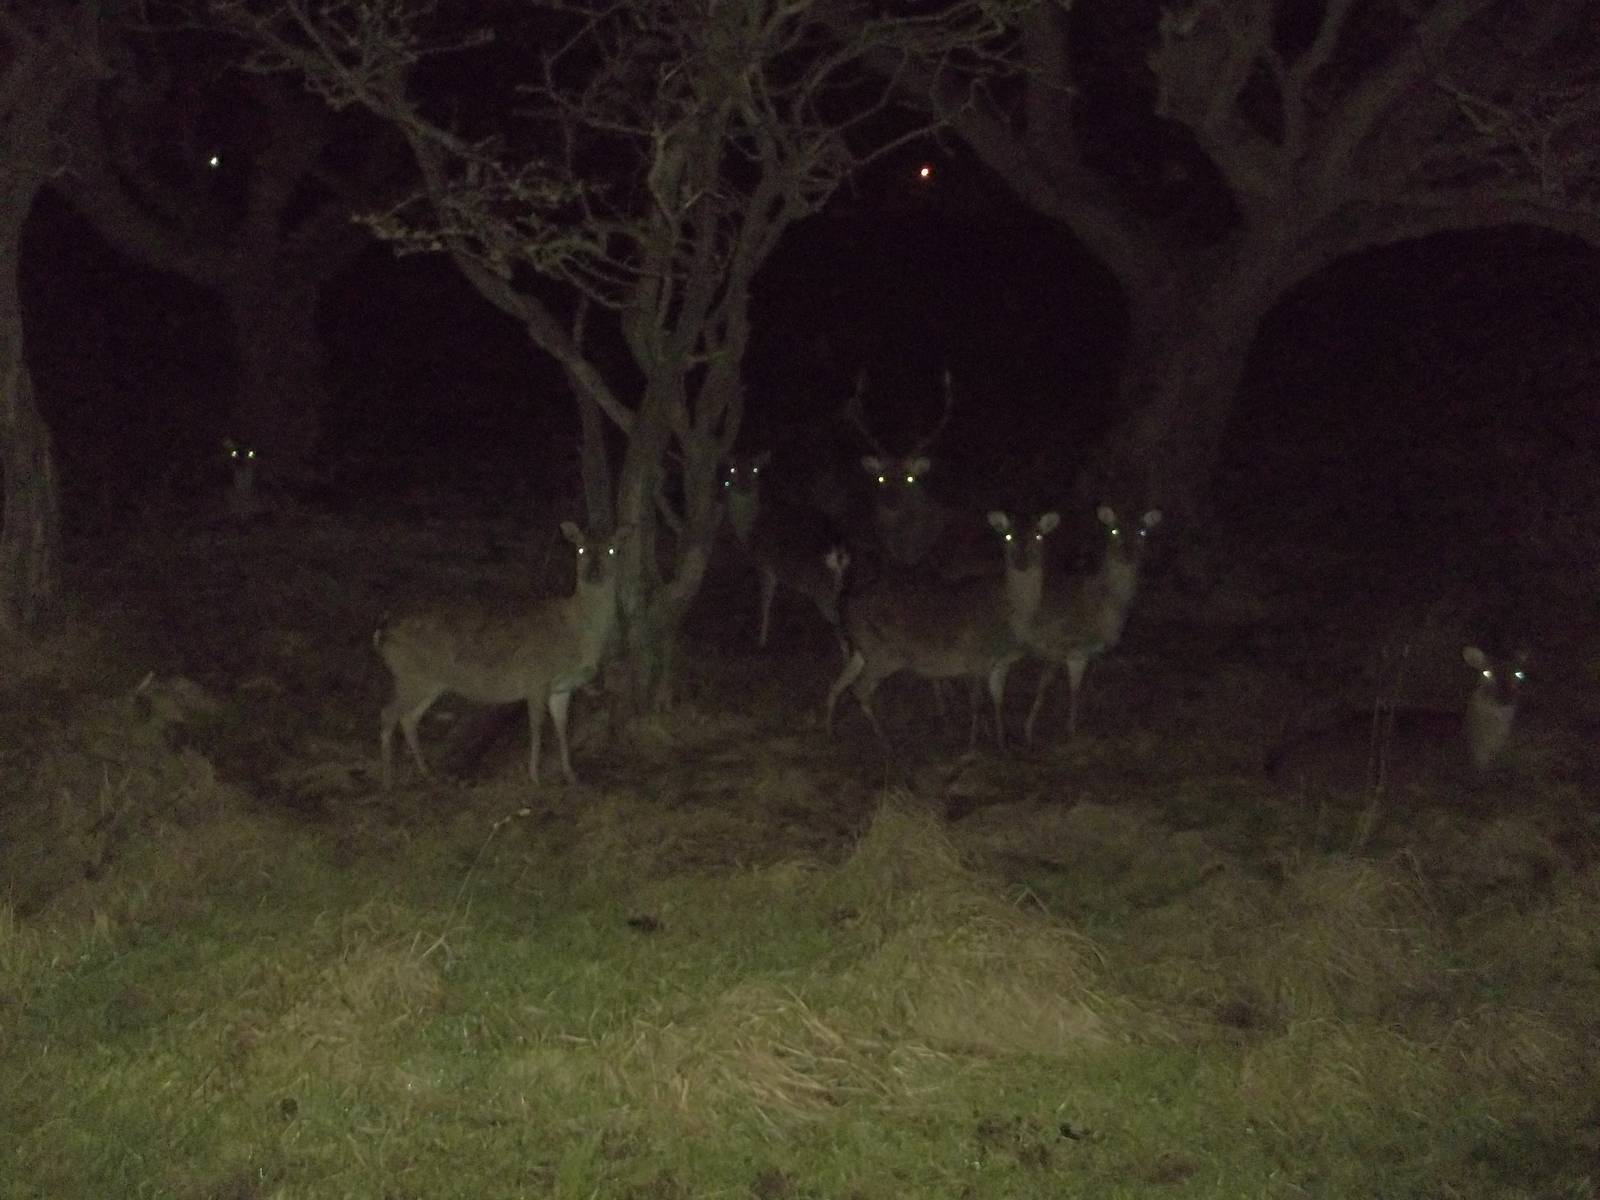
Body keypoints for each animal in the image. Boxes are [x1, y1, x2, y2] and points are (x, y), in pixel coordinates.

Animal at [375, 520, 629, 788]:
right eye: (580, 549)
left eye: (612, 549)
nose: (594, 573)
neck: (576, 631)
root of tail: (381, 631)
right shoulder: (536, 677)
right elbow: (537, 727)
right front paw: (534, 776)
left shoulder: (562, 687)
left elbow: (561, 727)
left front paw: (571, 775)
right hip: (409, 675)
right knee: (388, 714)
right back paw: (387, 780)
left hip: (429, 680)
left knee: (408, 718)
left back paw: (427, 772)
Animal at [722, 451, 850, 654]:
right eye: (733, 468)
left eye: (755, 469)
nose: (744, 487)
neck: (750, 529)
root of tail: (838, 554)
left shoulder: (765, 564)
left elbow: (765, 602)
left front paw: (761, 640)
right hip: (835, 585)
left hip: (821, 587)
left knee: (841, 630)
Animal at [825, 509, 1061, 752]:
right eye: (1008, 536)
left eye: (1038, 536)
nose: (1021, 562)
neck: (1012, 622)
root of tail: (843, 604)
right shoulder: (975, 658)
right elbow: (977, 703)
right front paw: (973, 746)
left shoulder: (1002, 662)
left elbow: (998, 701)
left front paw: (1002, 744)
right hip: (885, 653)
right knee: (859, 688)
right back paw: (886, 741)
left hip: (862, 649)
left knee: (838, 684)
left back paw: (830, 732)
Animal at [1023, 506, 1163, 745]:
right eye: (1114, 530)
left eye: (1142, 531)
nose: (1127, 554)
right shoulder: (1061, 644)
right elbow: (1045, 685)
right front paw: (1030, 730)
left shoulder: (1084, 652)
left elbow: (1078, 688)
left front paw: (1074, 726)